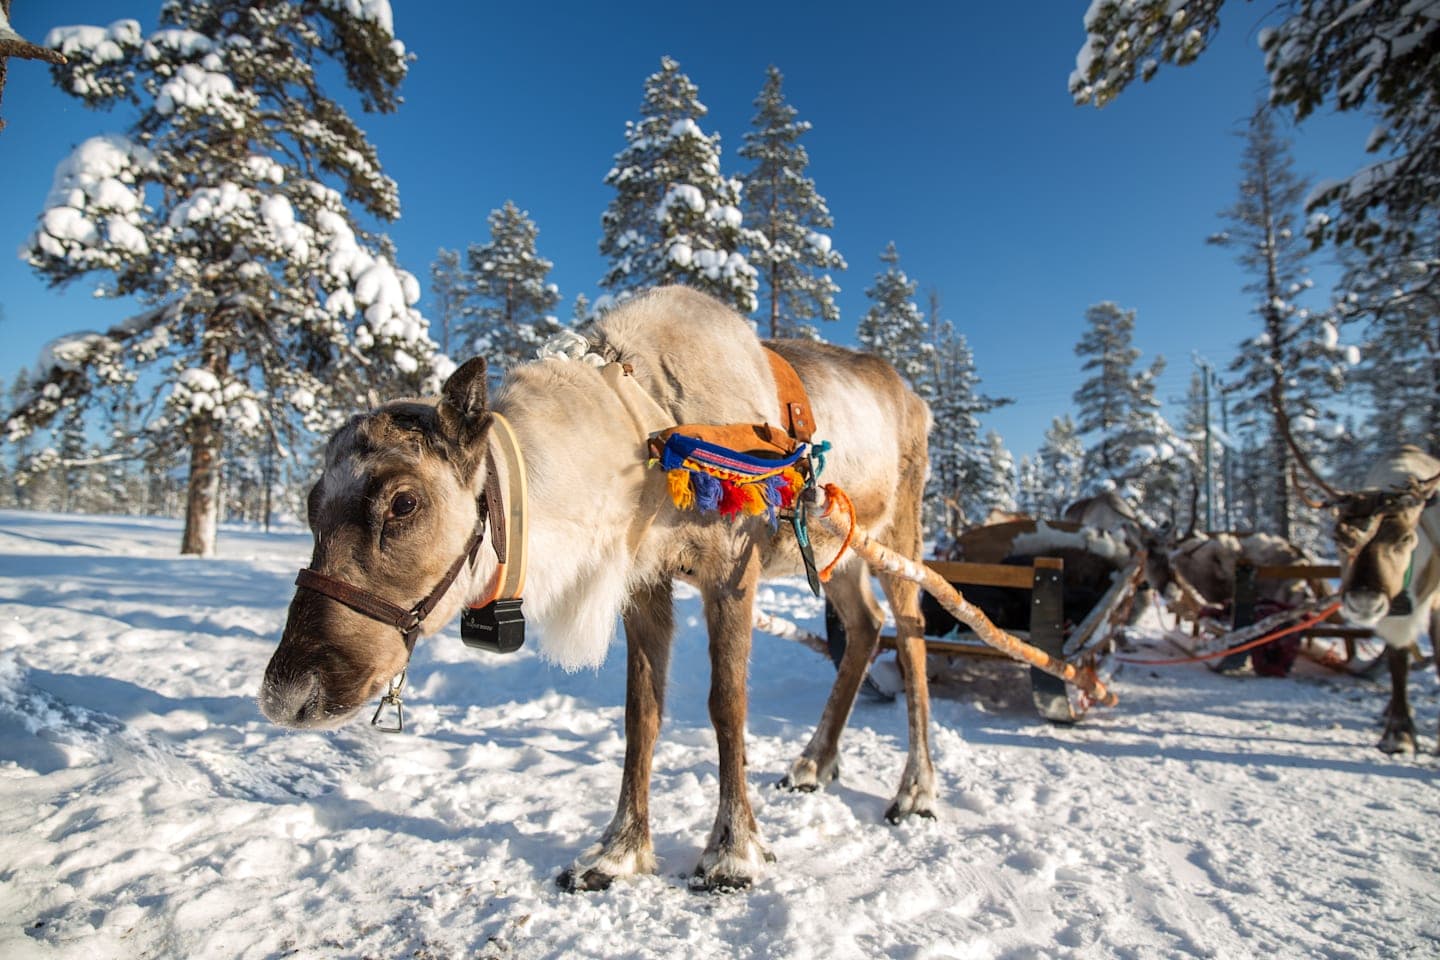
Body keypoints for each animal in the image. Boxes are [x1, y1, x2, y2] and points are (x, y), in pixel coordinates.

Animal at [259, 286, 936, 890]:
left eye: (403, 502)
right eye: (311, 506)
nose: (285, 696)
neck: (648, 436)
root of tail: (915, 399)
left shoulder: (730, 571)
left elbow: (726, 706)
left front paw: (732, 853)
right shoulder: (644, 581)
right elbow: (642, 714)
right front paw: (619, 853)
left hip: (901, 533)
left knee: (912, 636)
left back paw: (916, 790)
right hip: (839, 554)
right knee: (865, 627)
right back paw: (814, 763)